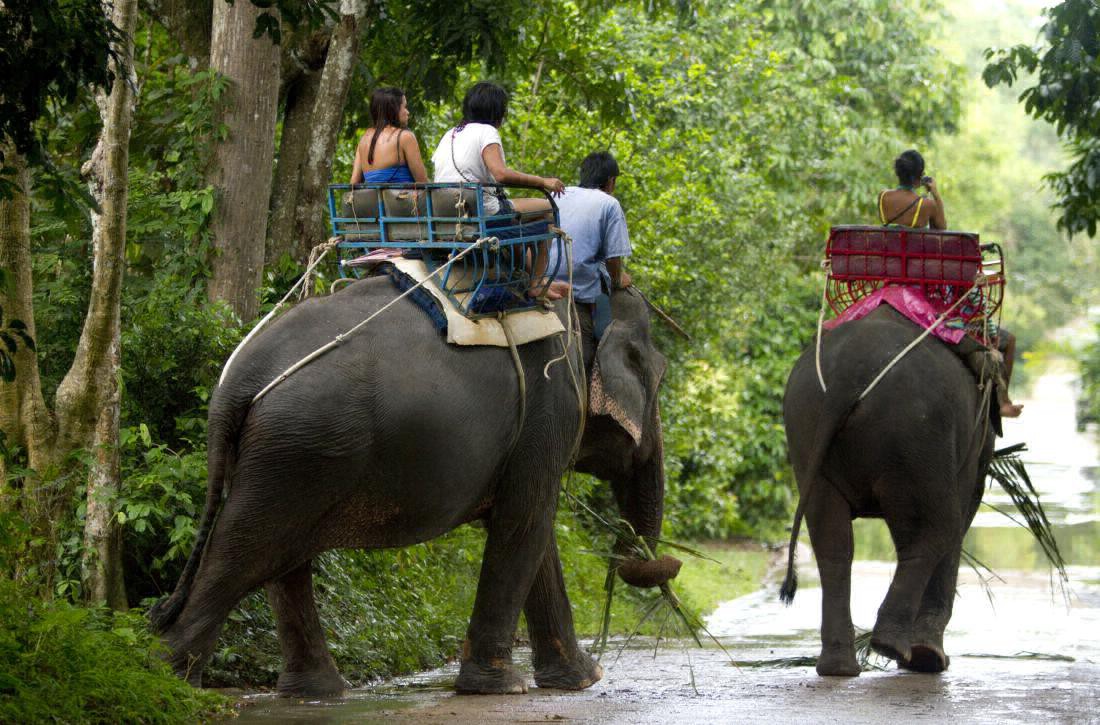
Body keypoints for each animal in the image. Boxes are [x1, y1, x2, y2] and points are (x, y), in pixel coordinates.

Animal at [149, 276, 675, 697]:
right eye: (657, 380)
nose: (660, 564)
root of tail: (238, 379)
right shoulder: (551, 404)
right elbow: (525, 523)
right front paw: (505, 687)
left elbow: (530, 532)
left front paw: (582, 679)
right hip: (300, 448)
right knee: (245, 553)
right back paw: (170, 688)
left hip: (286, 455)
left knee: (280, 560)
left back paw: (316, 693)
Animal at [780, 305, 997, 676]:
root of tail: (847, 375)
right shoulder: (971, 442)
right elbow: (962, 510)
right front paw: (930, 657)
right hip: (915, 435)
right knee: (939, 528)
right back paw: (908, 652)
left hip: (805, 427)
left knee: (832, 542)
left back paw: (840, 667)